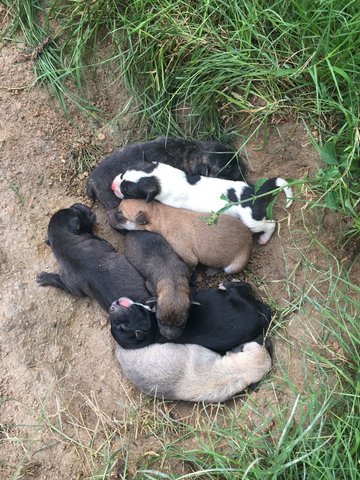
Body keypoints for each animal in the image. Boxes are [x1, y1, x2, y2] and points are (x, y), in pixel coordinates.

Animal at [108, 199, 252, 274]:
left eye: (120, 214)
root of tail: (249, 239)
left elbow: (190, 265)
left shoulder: (187, 255)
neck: (158, 214)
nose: (107, 213)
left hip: (233, 266)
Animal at [108, 280, 272, 354]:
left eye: (120, 325)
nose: (111, 308)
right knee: (243, 288)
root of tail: (261, 316)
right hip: (238, 299)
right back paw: (227, 284)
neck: (152, 328)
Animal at [112, 161, 292, 244]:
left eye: (127, 191)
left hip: (251, 222)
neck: (164, 178)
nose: (113, 185)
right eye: (123, 173)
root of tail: (255, 192)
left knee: (271, 224)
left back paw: (264, 238)